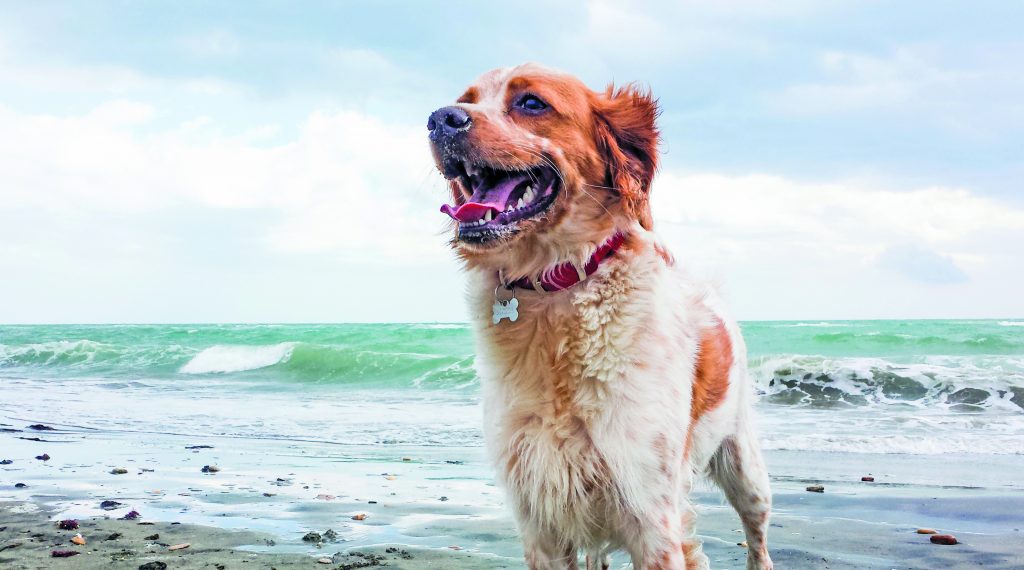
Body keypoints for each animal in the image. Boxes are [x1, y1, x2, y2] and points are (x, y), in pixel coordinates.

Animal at [428, 63, 770, 568]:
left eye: (532, 103)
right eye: (465, 99)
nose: (439, 119)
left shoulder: (652, 515)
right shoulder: (540, 519)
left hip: (746, 469)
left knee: (758, 536)